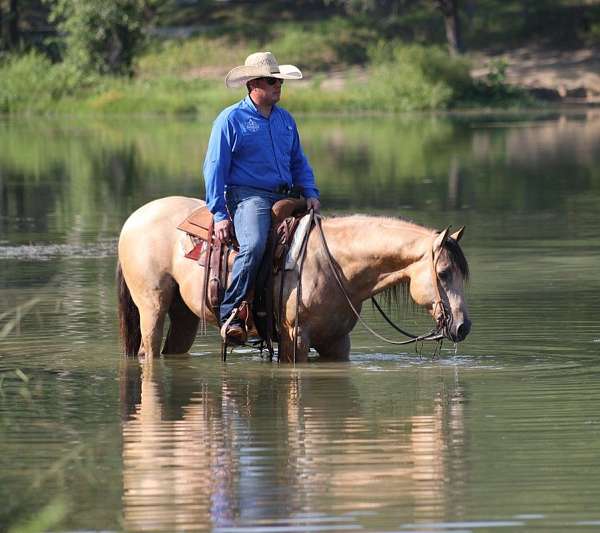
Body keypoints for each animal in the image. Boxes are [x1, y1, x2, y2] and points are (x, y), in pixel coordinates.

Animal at [117, 195, 472, 362]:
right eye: (443, 273)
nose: (463, 327)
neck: (334, 264)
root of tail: (134, 217)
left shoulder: (337, 342)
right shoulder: (294, 338)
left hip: (184, 316)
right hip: (152, 305)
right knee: (147, 350)